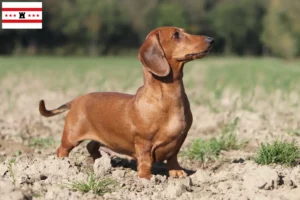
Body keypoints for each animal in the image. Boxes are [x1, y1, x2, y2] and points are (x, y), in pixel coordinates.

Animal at [39, 26, 213, 178]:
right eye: (176, 35)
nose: (211, 39)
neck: (168, 98)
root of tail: (76, 100)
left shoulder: (179, 139)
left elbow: (173, 157)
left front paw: (176, 172)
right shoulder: (143, 142)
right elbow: (145, 160)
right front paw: (147, 177)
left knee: (91, 146)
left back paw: (99, 163)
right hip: (71, 136)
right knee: (62, 149)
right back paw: (62, 165)